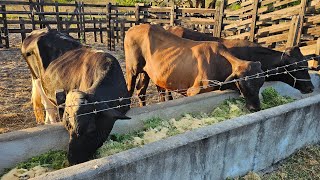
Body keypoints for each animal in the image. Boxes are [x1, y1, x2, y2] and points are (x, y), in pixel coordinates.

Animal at [125, 23, 264, 111]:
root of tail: (132, 28)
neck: (219, 64)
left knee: (141, 90)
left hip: (147, 72)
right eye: (245, 84)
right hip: (132, 69)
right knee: (130, 89)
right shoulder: (193, 91)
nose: (256, 108)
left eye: (260, 84)